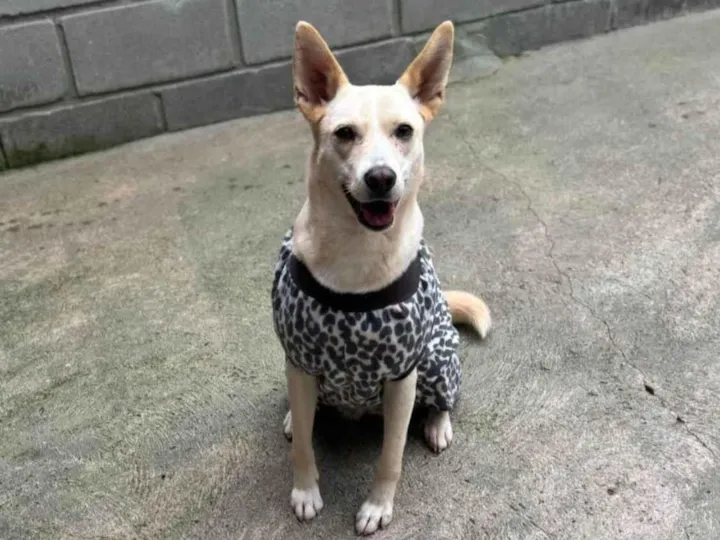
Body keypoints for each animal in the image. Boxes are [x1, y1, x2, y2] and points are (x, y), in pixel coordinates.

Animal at [270, 20, 491, 535]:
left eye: (404, 131)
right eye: (344, 133)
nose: (381, 178)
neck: (357, 252)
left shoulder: (401, 378)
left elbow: (391, 455)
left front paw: (377, 506)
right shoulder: (300, 362)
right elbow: (305, 446)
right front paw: (305, 491)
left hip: (437, 364)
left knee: (442, 399)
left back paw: (437, 425)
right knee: (306, 414)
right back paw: (294, 417)